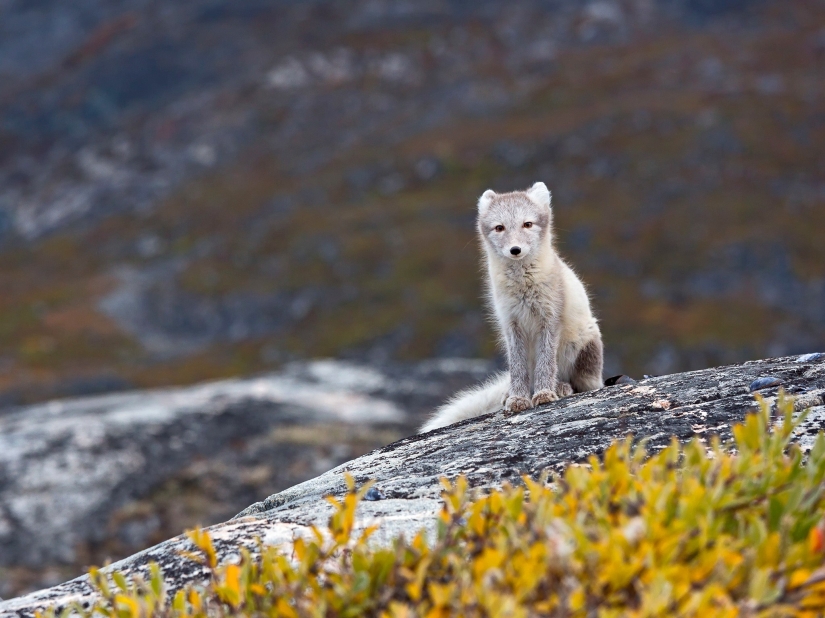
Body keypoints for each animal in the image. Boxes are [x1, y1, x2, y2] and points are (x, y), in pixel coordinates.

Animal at [422, 180, 600, 430]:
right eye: (499, 228)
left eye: (527, 224)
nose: (515, 250)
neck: (522, 285)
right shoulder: (510, 324)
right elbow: (517, 367)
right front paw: (518, 398)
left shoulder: (549, 319)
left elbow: (546, 362)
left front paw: (544, 394)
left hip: (584, 347)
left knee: (582, 384)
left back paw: (561, 387)